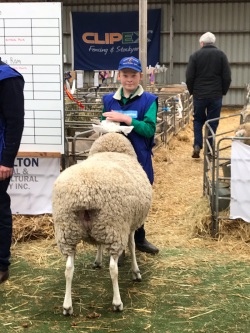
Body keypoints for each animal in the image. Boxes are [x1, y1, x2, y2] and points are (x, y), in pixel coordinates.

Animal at [52, 131, 152, 312]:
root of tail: (84, 194)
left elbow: (99, 243)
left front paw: (97, 260)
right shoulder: (129, 224)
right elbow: (132, 245)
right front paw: (136, 271)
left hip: (67, 230)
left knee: (68, 268)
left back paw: (67, 306)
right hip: (114, 227)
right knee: (113, 268)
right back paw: (117, 302)